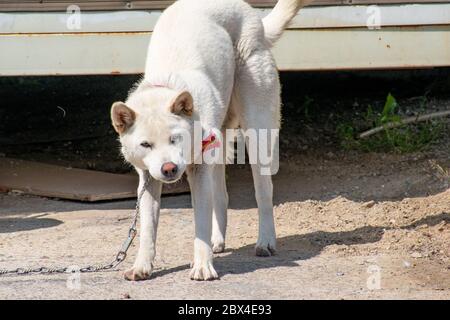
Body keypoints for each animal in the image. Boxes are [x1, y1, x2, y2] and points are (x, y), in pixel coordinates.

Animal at [110, 0, 312, 280]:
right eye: (146, 145)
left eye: (176, 138)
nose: (169, 169)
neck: (167, 85)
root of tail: (256, 19)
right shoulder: (149, 180)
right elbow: (148, 229)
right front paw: (142, 266)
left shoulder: (199, 170)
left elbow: (201, 225)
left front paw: (203, 267)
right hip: (219, 147)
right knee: (222, 196)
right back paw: (219, 241)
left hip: (256, 135)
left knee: (263, 193)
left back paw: (265, 241)